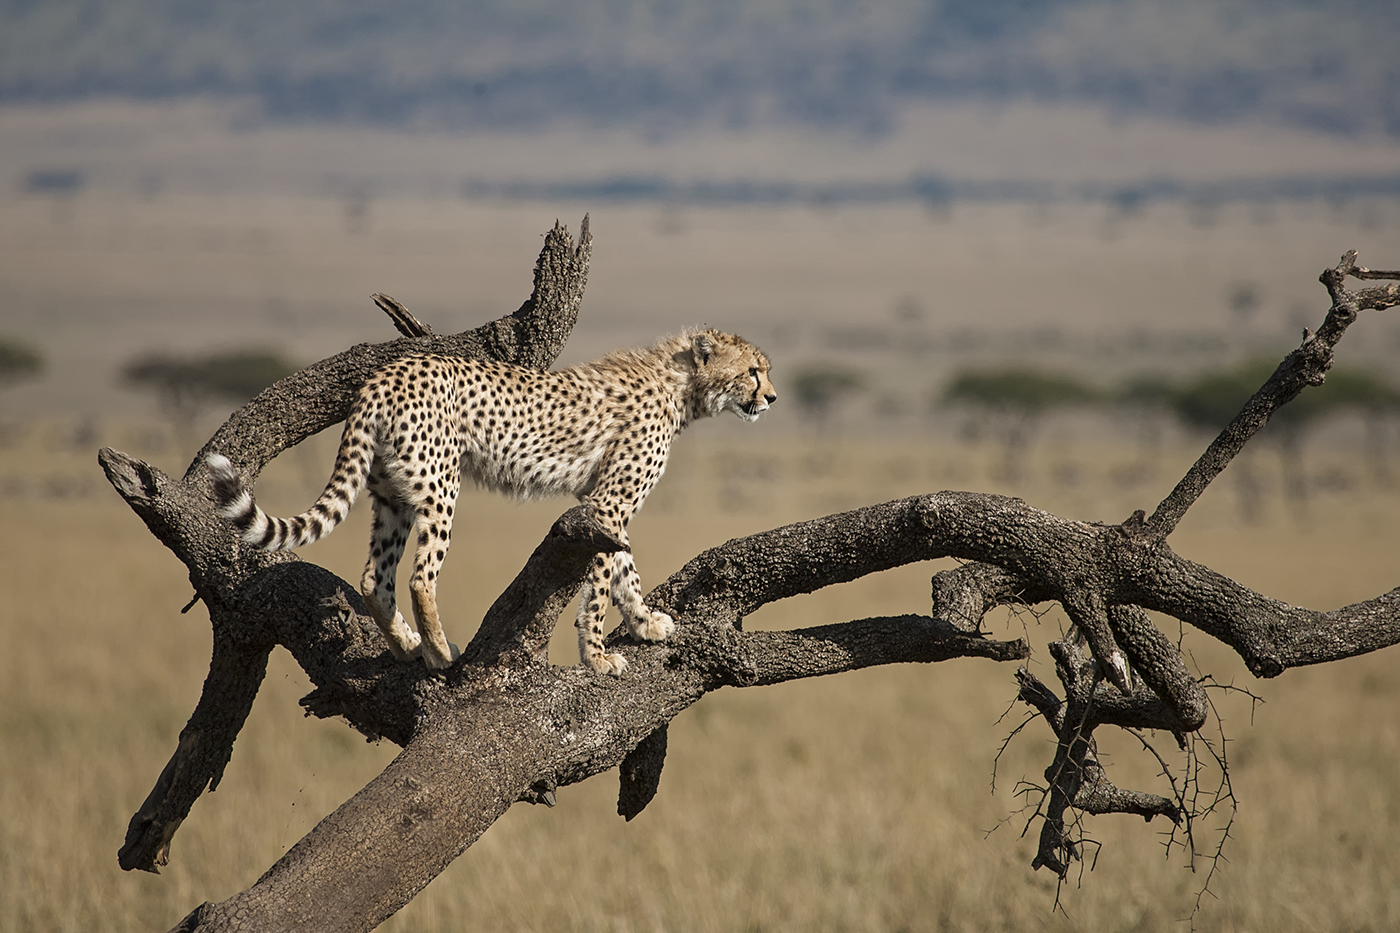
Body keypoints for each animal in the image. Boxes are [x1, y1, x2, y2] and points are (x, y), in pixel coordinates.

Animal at [205, 328, 776, 675]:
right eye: (754, 370)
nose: (771, 397)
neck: (681, 384)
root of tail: (384, 375)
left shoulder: (598, 503)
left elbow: (623, 568)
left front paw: (644, 623)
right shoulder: (607, 504)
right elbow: (599, 584)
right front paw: (597, 658)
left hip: (392, 493)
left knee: (374, 577)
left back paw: (409, 647)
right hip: (440, 483)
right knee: (420, 575)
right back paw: (439, 652)